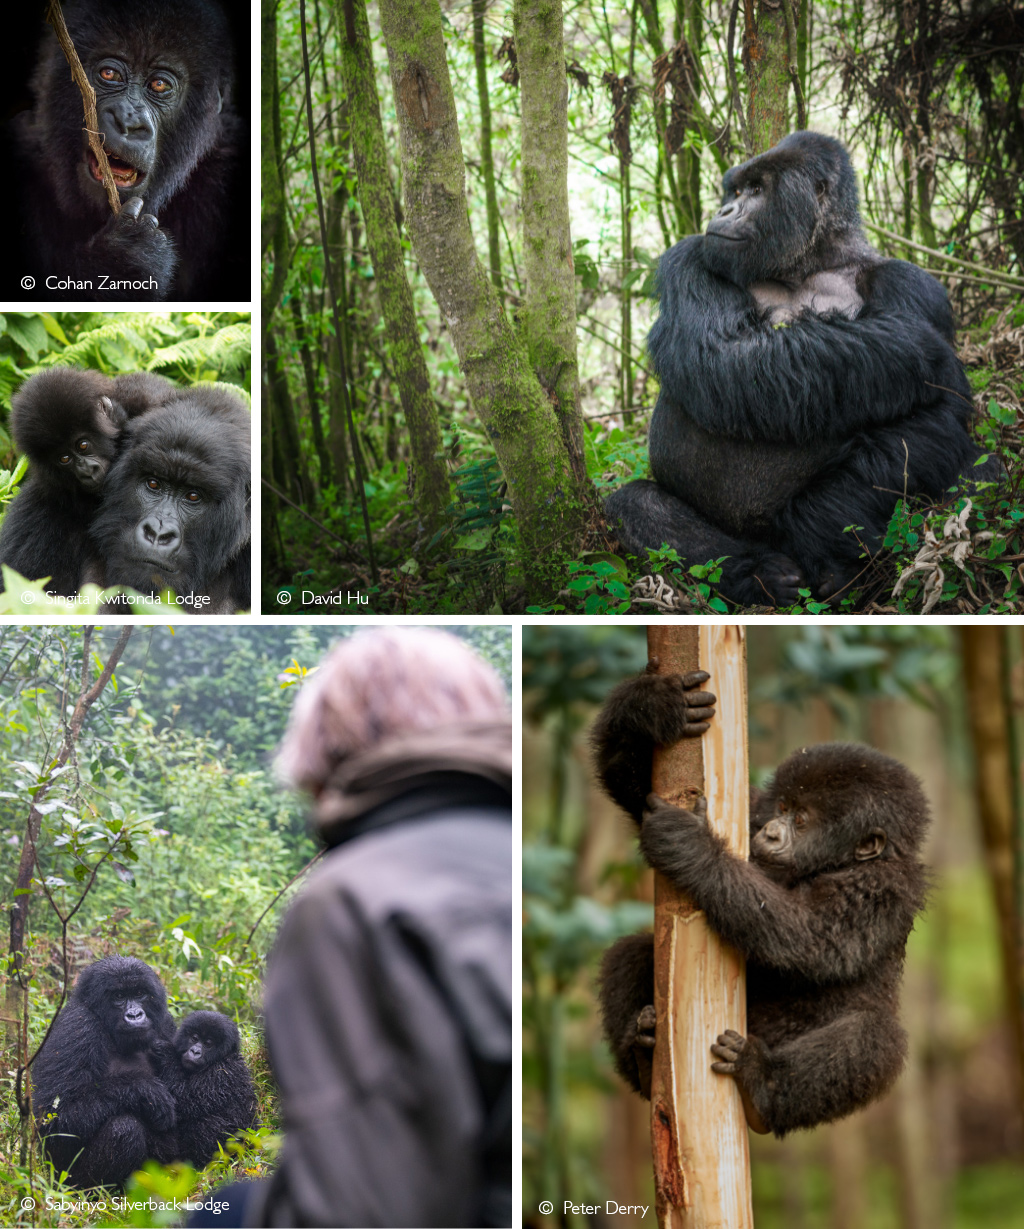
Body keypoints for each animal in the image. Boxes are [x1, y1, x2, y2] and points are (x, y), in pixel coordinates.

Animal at [7, 0, 245, 299]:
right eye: (110, 74)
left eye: (159, 85)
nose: (128, 122)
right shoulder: (20, 151)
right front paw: (123, 262)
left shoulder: (228, 164)